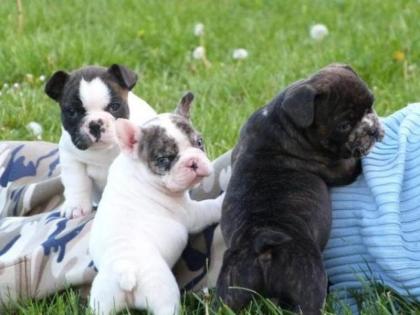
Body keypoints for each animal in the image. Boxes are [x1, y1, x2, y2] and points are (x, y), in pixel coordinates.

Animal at [45, 63, 158, 218]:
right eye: (72, 112)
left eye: (115, 106)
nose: (95, 124)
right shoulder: (71, 160)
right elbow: (76, 182)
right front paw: (76, 206)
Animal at [89, 93, 223, 315]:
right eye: (164, 159)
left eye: (199, 142)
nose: (193, 162)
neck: (138, 170)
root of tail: (127, 271)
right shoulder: (191, 214)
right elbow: (209, 207)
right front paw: (222, 201)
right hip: (162, 290)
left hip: (102, 298)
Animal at [217, 63, 384, 314]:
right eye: (344, 125)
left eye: (370, 105)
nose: (372, 129)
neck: (282, 119)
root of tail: (261, 243)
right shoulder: (339, 167)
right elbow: (354, 164)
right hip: (310, 280)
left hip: (231, 286)